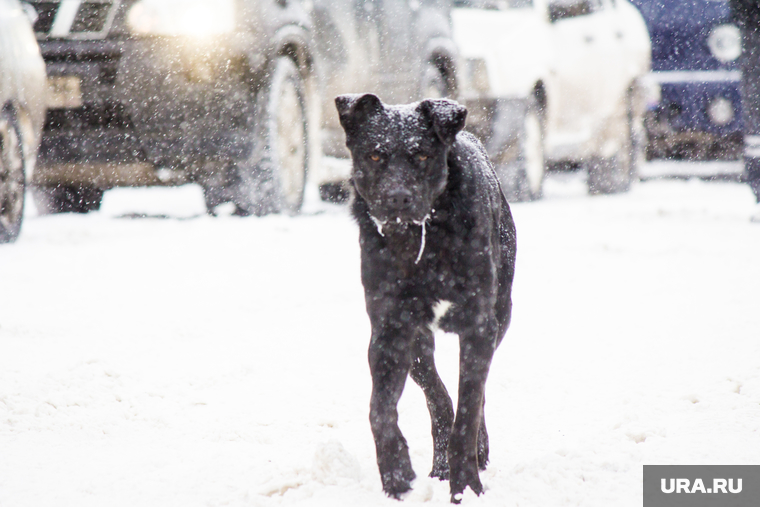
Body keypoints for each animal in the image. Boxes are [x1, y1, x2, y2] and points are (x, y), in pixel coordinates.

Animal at [336, 92, 516, 504]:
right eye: (374, 155)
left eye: (421, 155)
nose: (397, 198)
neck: (424, 240)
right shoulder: (390, 330)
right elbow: (380, 409)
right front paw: (396, 473)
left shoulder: (479, 326)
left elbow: (469, 409)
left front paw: (466, 486)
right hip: (419, 344)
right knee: (437, 394)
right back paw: (439, 462)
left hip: (501, 315)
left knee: (473, 397)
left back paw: (474, 453)